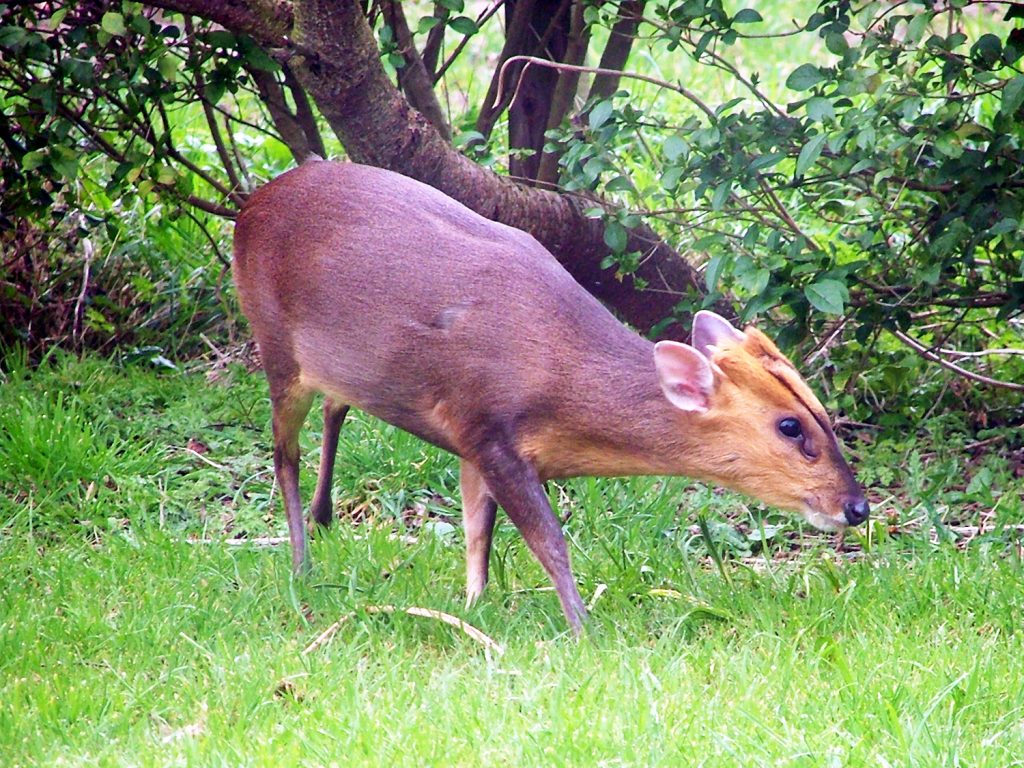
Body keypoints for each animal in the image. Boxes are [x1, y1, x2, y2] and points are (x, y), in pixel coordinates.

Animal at [232, 159, 869, 634]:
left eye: (824, 416)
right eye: (790, 427)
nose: (857, 507)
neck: (559, 379)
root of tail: (250, 204)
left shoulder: (472, 440)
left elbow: (477, 531)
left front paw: (472, 607)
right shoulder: (488, 428)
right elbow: (548, 540)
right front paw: (584, 629)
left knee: (336, 406)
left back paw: (324, 519)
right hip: (274, 343)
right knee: (283, 455)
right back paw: (301, 565)